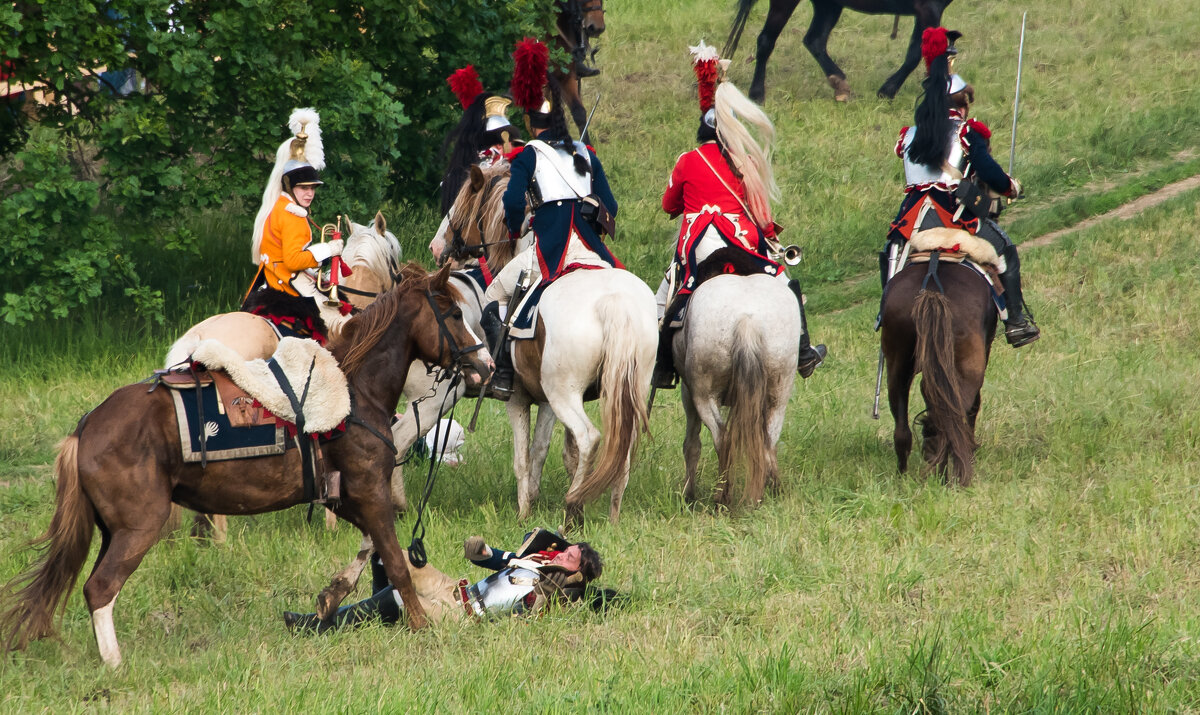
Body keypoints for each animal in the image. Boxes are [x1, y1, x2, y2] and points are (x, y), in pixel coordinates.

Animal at [0, 265, 489, 667]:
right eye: (451, 312)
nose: (483, 363)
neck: (353, 389)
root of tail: (85, 429)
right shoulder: (370, 489)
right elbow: (396, 560)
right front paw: (421, 624)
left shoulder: (348, 497)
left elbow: (369, 547)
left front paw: (331, 596)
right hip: (140, 527)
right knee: (100, 588)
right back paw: (116, 665)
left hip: (112, 530)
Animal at [672, 271, 801, 506]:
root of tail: (747, 320)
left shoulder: (688, 392)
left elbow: (692, 444)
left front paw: (688, 494)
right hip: (779, 393)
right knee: (769, 438)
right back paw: (772, 488)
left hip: (703, 396)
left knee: (723, 440)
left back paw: (721, 497)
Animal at [720, 0, 955, 101]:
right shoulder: (929, 8)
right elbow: (922, 55)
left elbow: (916, 53)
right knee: (766, 41)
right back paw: (757, 93)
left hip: (829, 4)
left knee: (815, 40)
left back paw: (839, 83)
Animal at [883, 256, 993, 487]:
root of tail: (931, 291)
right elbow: (973, 407)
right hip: (966, 368)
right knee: (951, 421)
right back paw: (954, 473)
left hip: (897, 366)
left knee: (904, 430)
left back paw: (904, 477)